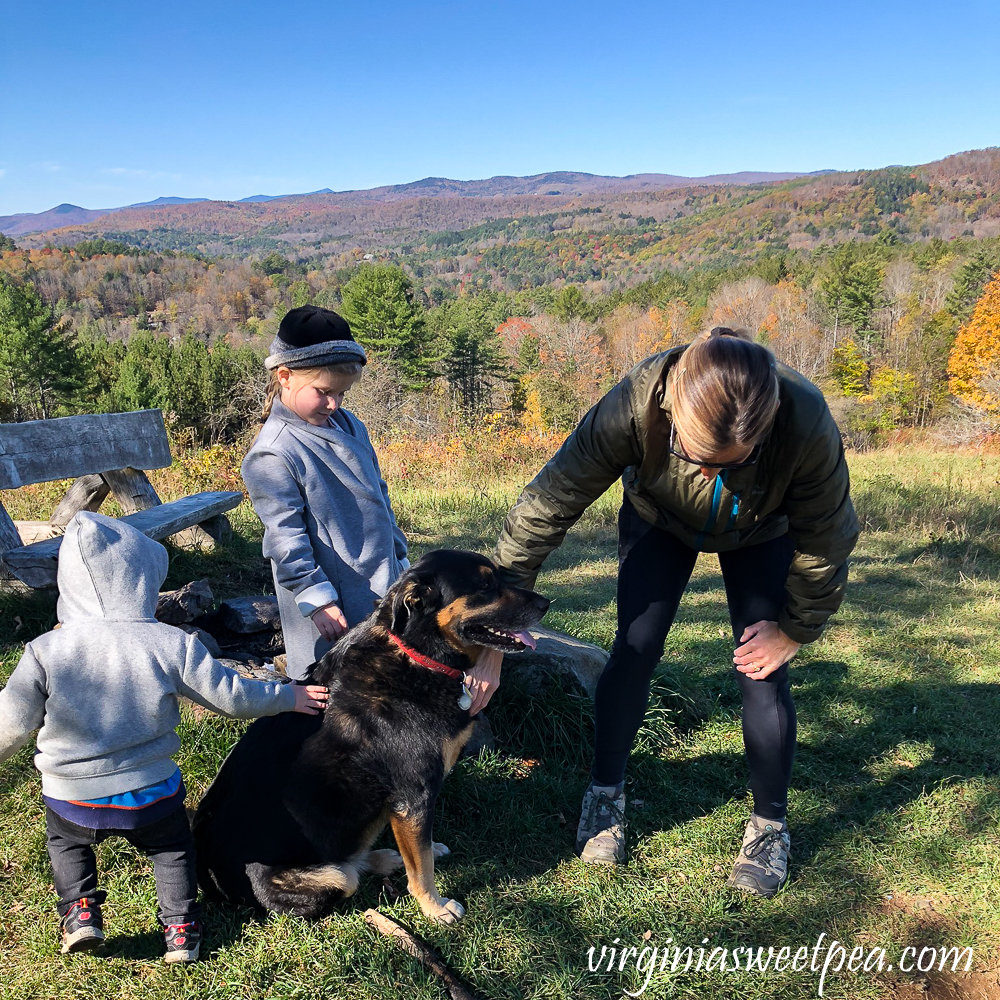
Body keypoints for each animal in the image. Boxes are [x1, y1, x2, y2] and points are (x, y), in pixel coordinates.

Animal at [191, 552, 552, 924]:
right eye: (485, 585)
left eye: (498, 576)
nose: (546, 604)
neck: (416, 655)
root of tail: (207, 878)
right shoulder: (413, 797)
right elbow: (421, 866)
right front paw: (434, 908)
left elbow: (422, 850)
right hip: (334, 877)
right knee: (348, 870)